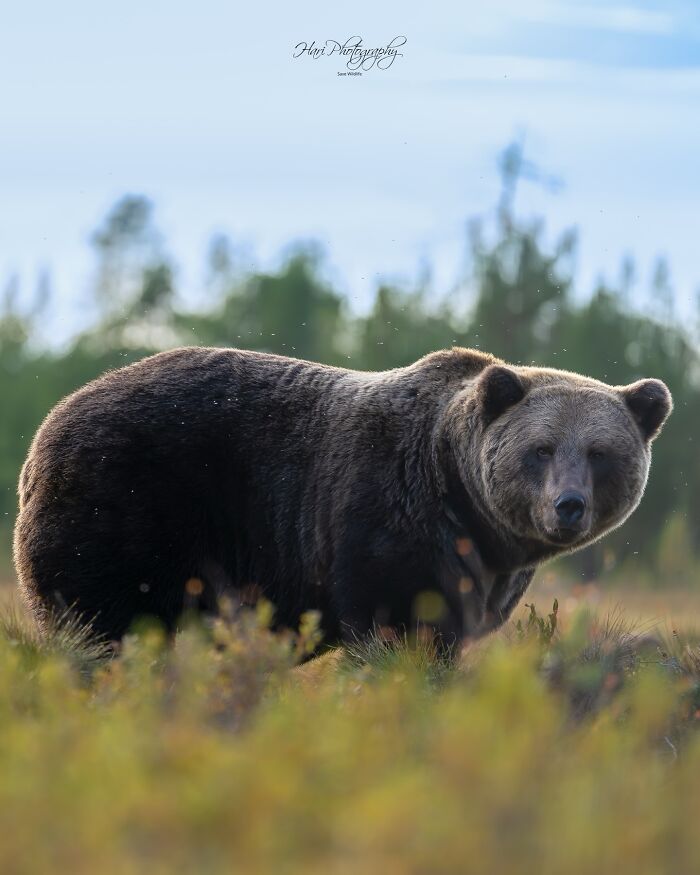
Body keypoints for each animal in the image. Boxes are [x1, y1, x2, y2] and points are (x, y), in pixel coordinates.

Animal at [13, 346, 672, 649]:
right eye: (541, 449)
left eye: (599, 452)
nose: (568, 505)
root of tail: (46, 427)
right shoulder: (386, 512)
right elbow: (401, 622)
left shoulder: (487, 569)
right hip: (127, 502)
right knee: (103, 620)